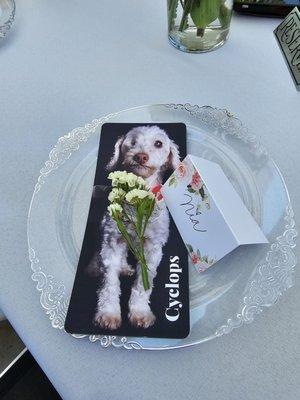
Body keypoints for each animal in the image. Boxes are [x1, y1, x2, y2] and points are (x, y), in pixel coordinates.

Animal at [92, 125, 179, 328]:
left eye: (158, 143)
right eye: (132, 142)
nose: (140, 156)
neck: (137, 202)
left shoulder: (153, 248)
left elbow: (143, 284)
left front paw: (140, 312)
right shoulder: (112, 241)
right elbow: (109, 283)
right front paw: (108, 314)